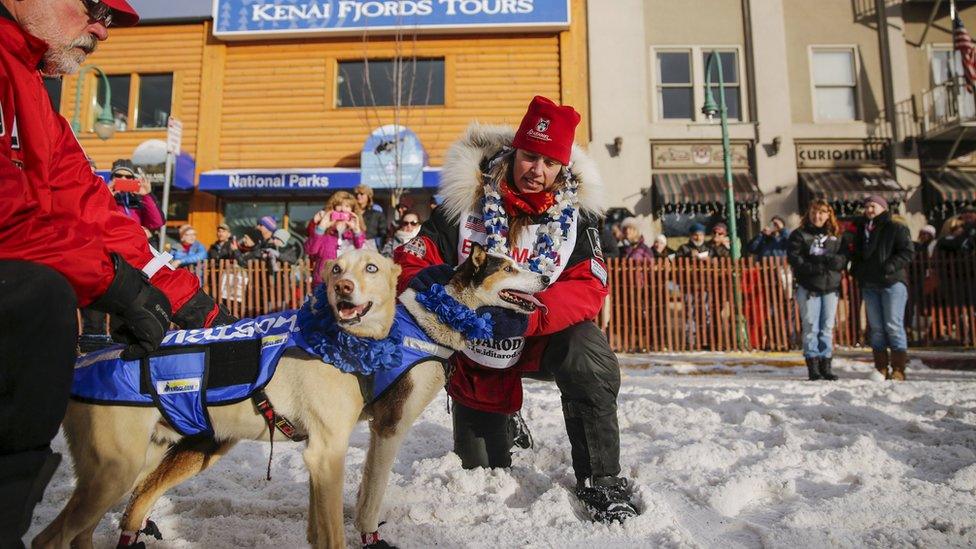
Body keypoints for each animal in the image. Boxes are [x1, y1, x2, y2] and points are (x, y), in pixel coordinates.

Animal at [36, 246, 548, 544]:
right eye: (509, 267)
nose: (544, 279)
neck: (423, 324)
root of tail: (86, 361)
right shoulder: (385, 430)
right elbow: (368, 501)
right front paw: (371, 536)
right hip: (117, 471)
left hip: (165, 457)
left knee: (127, 509)